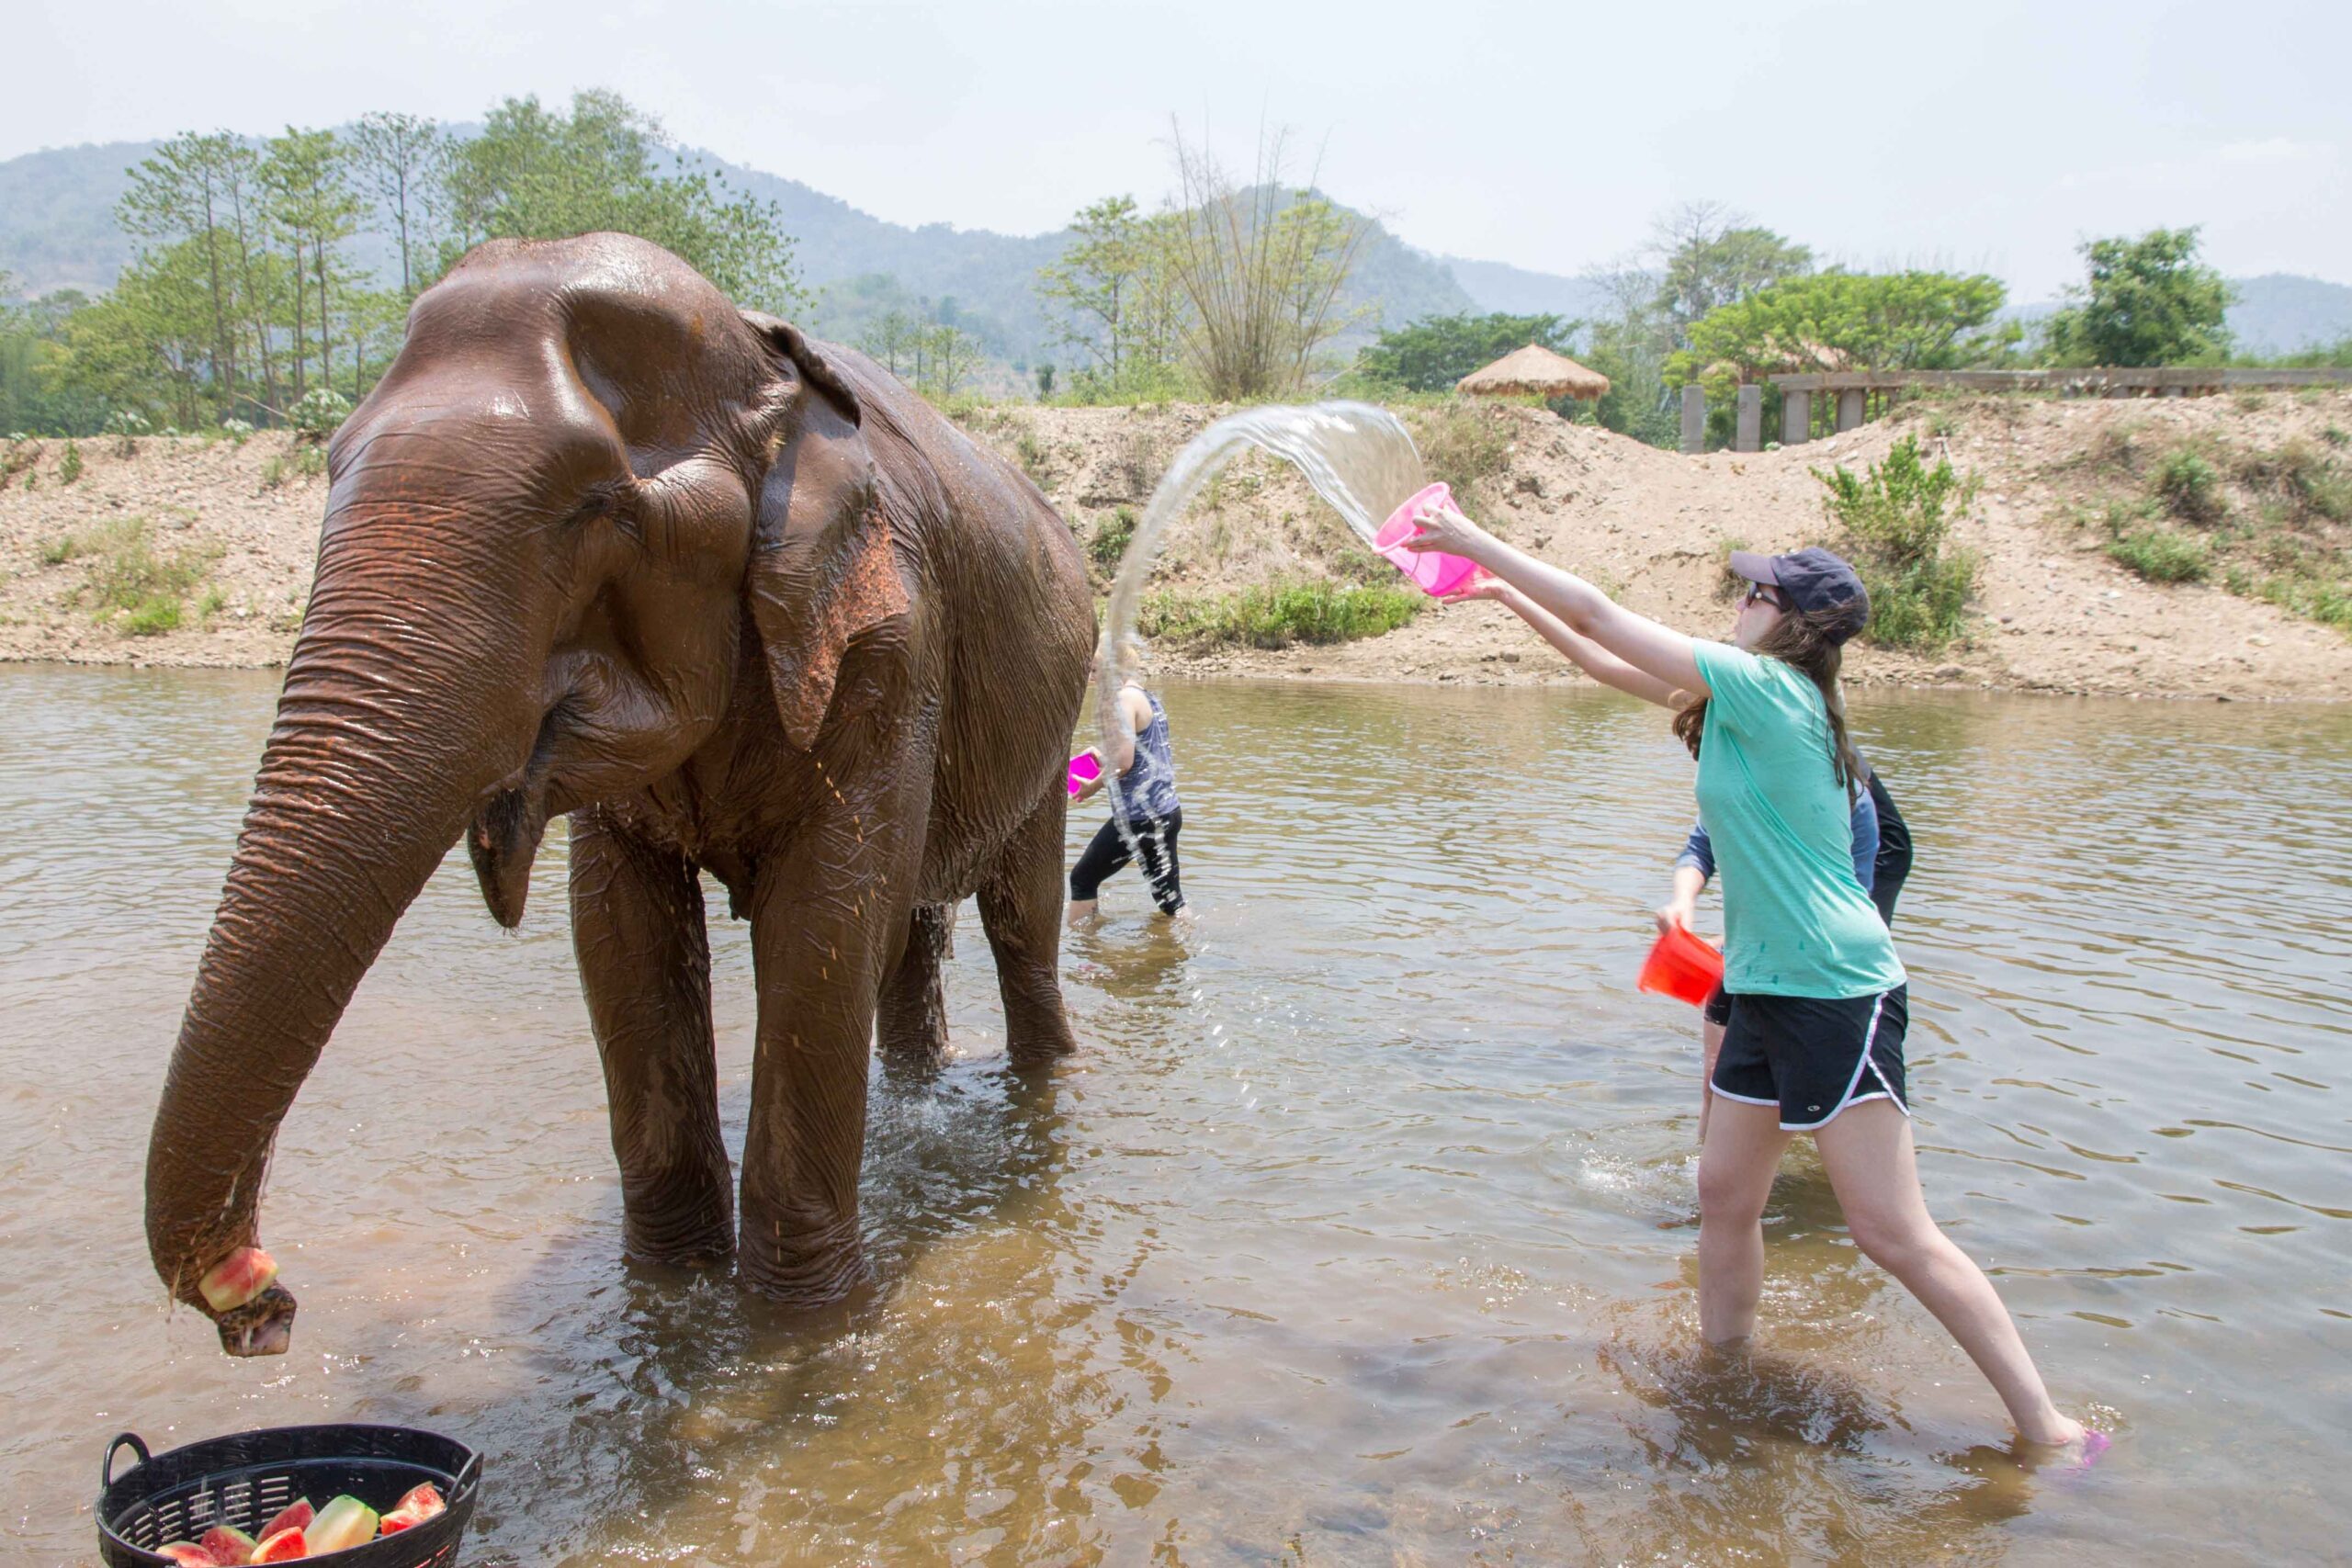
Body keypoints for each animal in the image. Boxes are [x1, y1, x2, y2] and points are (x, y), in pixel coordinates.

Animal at [144, 232, 1097, 1356]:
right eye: (331, 467)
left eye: (591, 510)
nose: (263, 1303)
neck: (761, 359)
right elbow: (619, 934)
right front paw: (668, 1293)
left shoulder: (888, 645)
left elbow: (823, 920)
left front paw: (801, 1329)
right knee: (908, 931)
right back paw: (915, 1100)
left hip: (1052, 712)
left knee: (1018, 919)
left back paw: (1040, 1086)